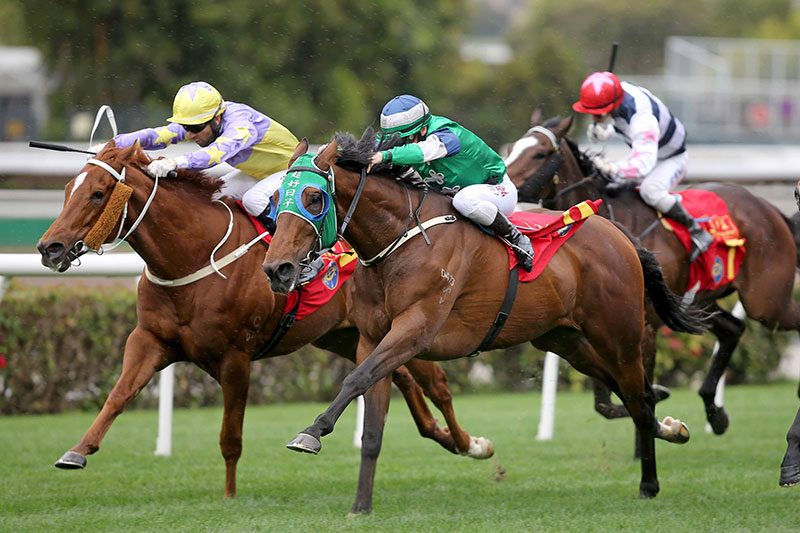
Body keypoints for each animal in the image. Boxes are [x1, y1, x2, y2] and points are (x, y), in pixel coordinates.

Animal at [36, 140, 494, 498]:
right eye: (67, 189)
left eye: (97, 194)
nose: (49, 248)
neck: (194, 255)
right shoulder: (150, 339)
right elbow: (117, 395)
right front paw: (77, 451)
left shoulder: (235, 356)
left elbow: (231, 437)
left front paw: (229, 496)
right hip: (348, 337)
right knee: (401, 379)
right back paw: (445, 436)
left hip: (402, 324)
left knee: (436, 383)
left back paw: (472, 445)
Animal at [260, 130, 704, 512]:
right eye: (276, 195)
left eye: (314, 197)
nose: (276, 269)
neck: (400, 239)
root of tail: (621, 235)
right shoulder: (371, 338)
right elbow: (371, 424)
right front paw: (360, 506)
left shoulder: (415, 329)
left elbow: (355, 379)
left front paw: (311, 433)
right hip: (566, 340)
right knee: (631, 394)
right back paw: (672, 428)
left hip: (621, 335)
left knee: (637, 397)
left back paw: (650, 481)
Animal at [504, 110, 800, 434]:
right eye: (513, 148)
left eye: (540, 153)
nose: (502, 183)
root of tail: (768, 207)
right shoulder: (601, 323)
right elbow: (603, 403)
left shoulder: (643, 327)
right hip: (698, 301)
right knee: (733, 329)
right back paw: (715, 413)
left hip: (767, 302)